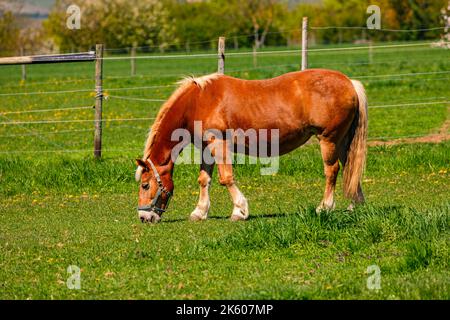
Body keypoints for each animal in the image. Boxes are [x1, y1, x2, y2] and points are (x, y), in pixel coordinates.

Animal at [134, 68, 366, 222]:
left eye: (145, 185)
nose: (144, 217)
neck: (197, 102)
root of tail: (349, 82)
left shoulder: (219, 143)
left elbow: (226, 178)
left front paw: (240, 210)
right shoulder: (206, 148)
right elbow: (204, 180)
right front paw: (199, 212)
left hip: (328, 140)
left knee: (332, 171)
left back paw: (324, 207)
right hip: (343, 141)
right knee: (350, 169)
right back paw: (354, 205)